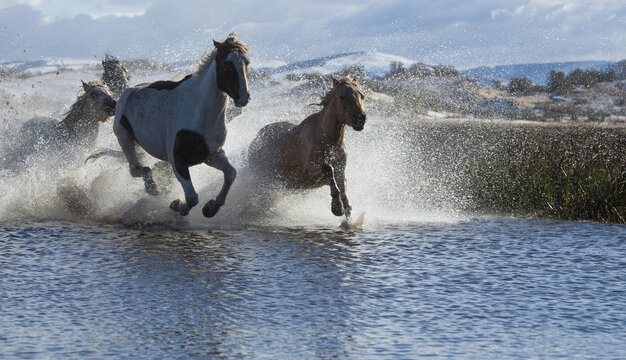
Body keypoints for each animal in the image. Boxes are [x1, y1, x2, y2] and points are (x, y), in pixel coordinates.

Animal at [113, 32, 250, 218]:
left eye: (247, 62)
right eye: (227, 65)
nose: (244, 97)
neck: (200, 114)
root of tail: (128, 92)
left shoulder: (212, 155)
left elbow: (231, 174)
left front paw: (211, 208)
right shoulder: (178, 160)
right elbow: (192, 197)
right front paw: (177, 205)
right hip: (125, 138)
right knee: (136, 169)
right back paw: (153, 187)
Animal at [247, 75, 366, 217]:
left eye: (362, 95)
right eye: (342, 97)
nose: (360, 119)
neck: (328, 139)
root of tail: (254, 142)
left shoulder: (340, 169)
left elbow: (342, 188)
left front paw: (347, 210)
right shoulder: (308, 171)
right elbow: (329, 170)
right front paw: (337, 207)